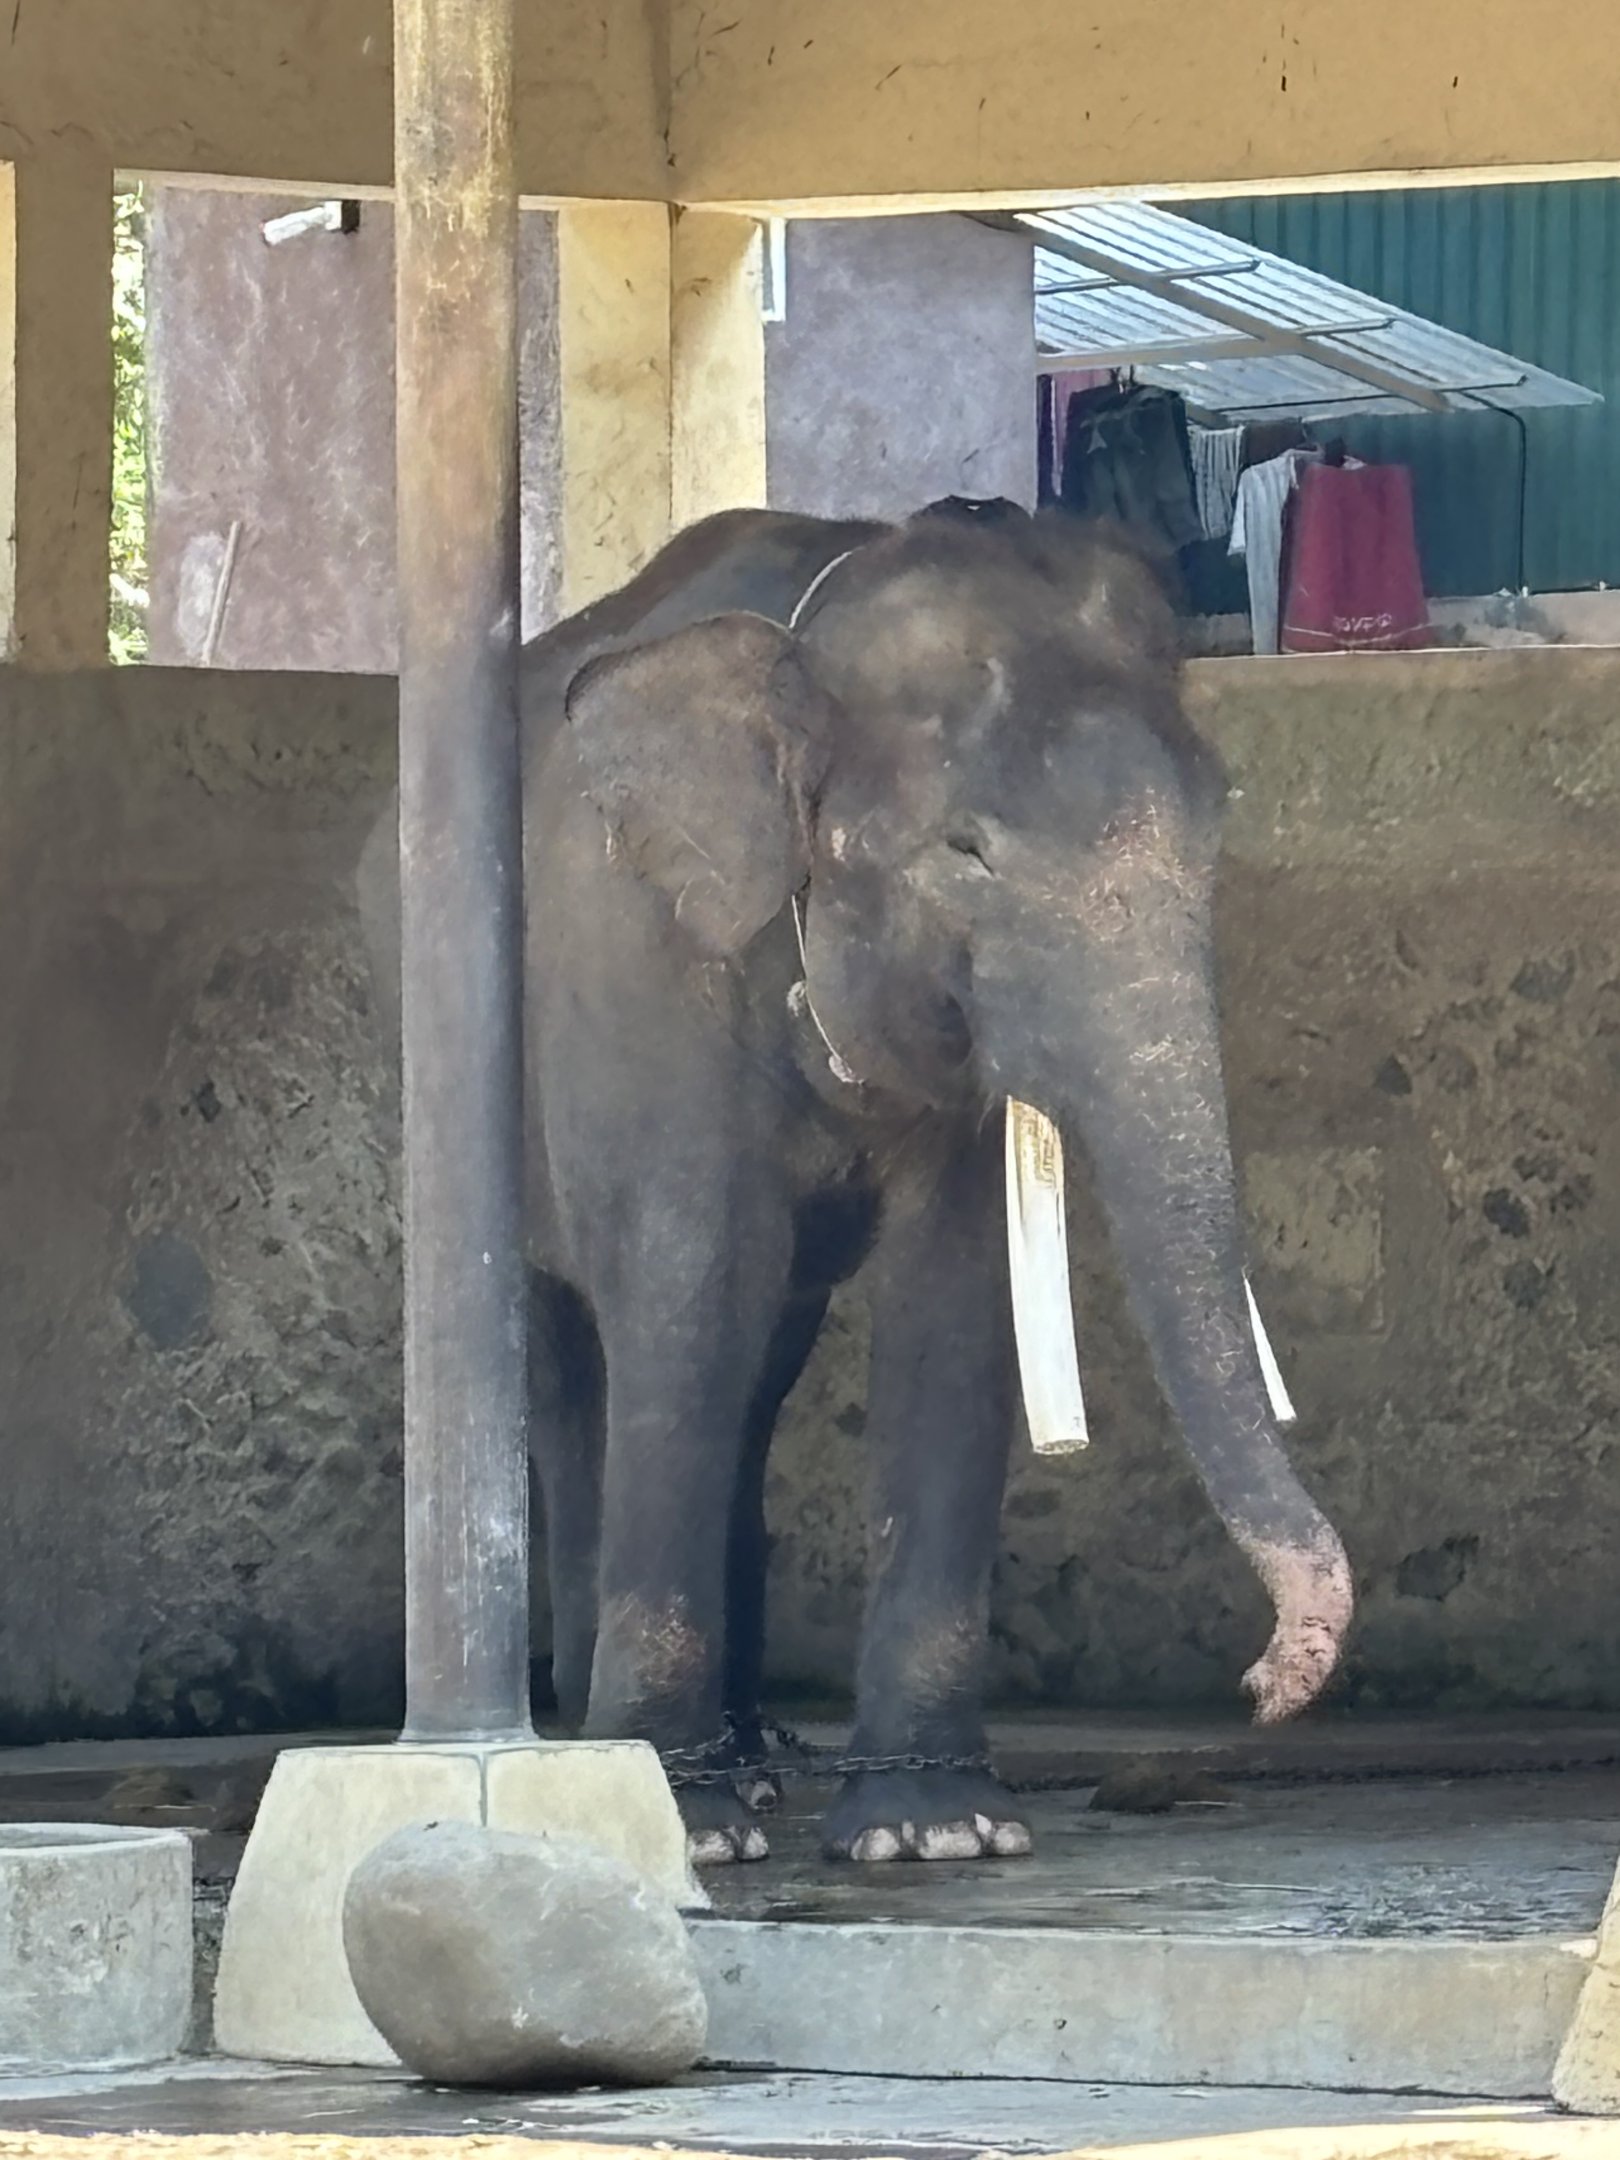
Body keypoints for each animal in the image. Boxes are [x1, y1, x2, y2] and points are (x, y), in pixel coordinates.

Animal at [357, 495, 1353, 1867]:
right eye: (966, 851)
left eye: (1213, 825)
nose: (1260, 1685)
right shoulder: (646, 973)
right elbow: (691, 1285)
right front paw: (689, 1829)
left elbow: (951, 1305)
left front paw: (939, 1833)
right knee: (572, 1358)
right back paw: (626, 1748)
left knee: (760, 1372)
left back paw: (759, 1758)